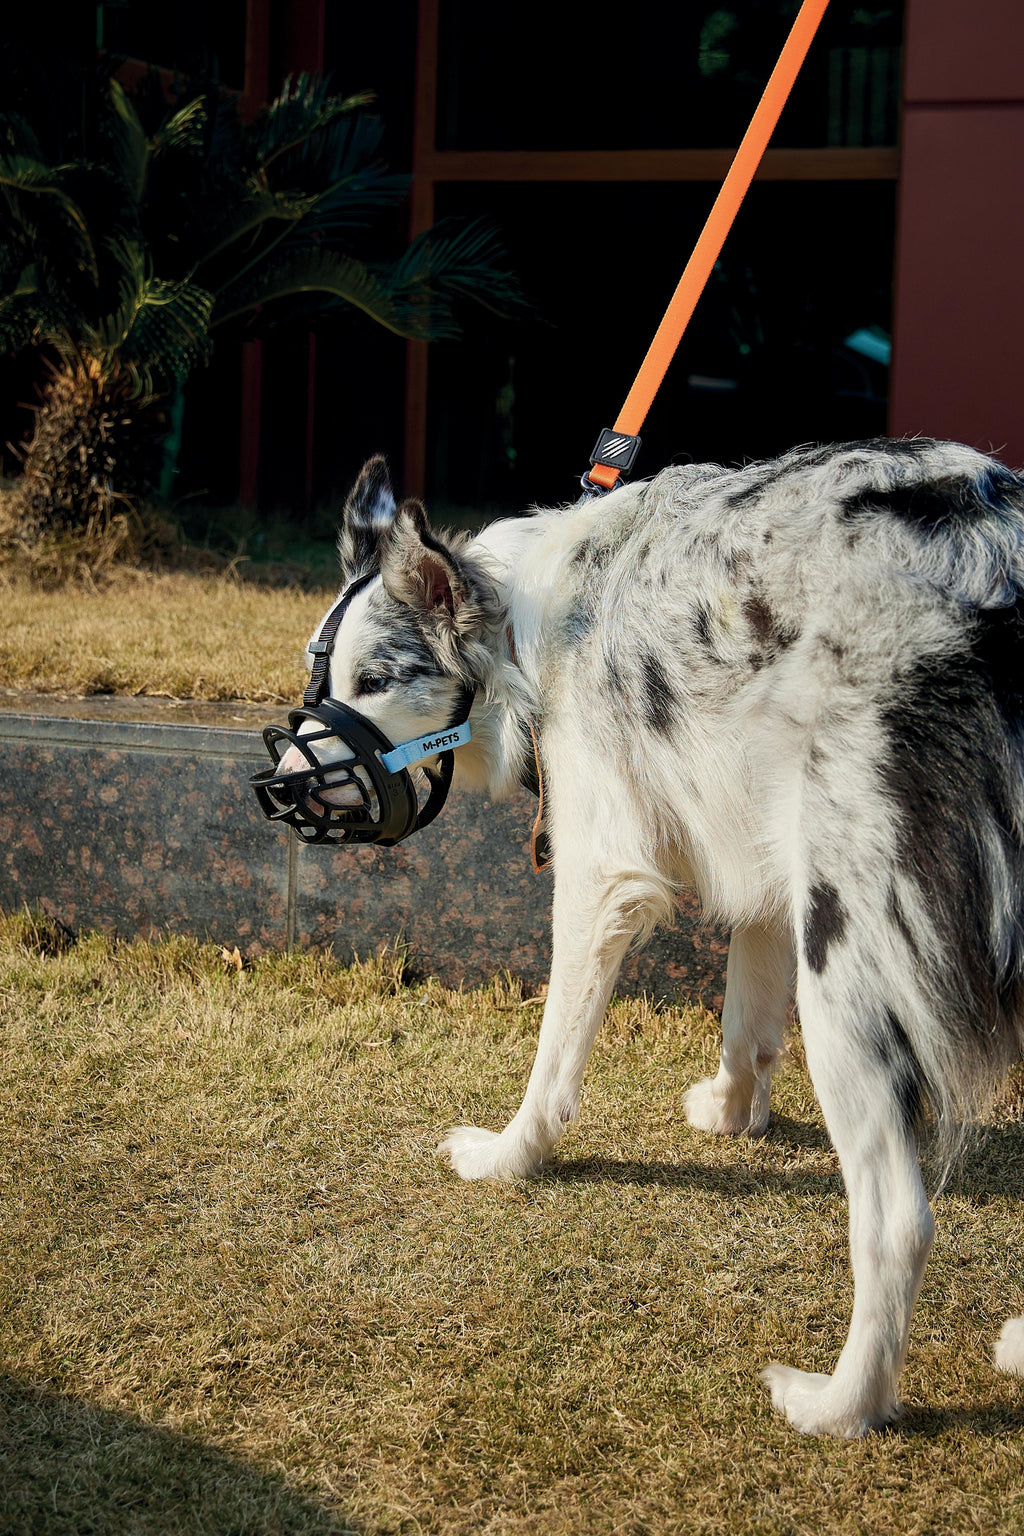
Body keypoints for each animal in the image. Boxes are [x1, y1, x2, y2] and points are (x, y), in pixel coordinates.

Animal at [284, 439, 1024, 1431]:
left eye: (374, 682)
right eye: (319, 678)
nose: (278, 788)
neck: (522, 631)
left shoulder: (603, 876)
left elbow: (556, 1052)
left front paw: (510, 1155)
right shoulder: (762, 851)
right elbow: (747, 1023)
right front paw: (733, 1113)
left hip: (848, 969)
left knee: (899, 1220)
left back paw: (840, 1405)